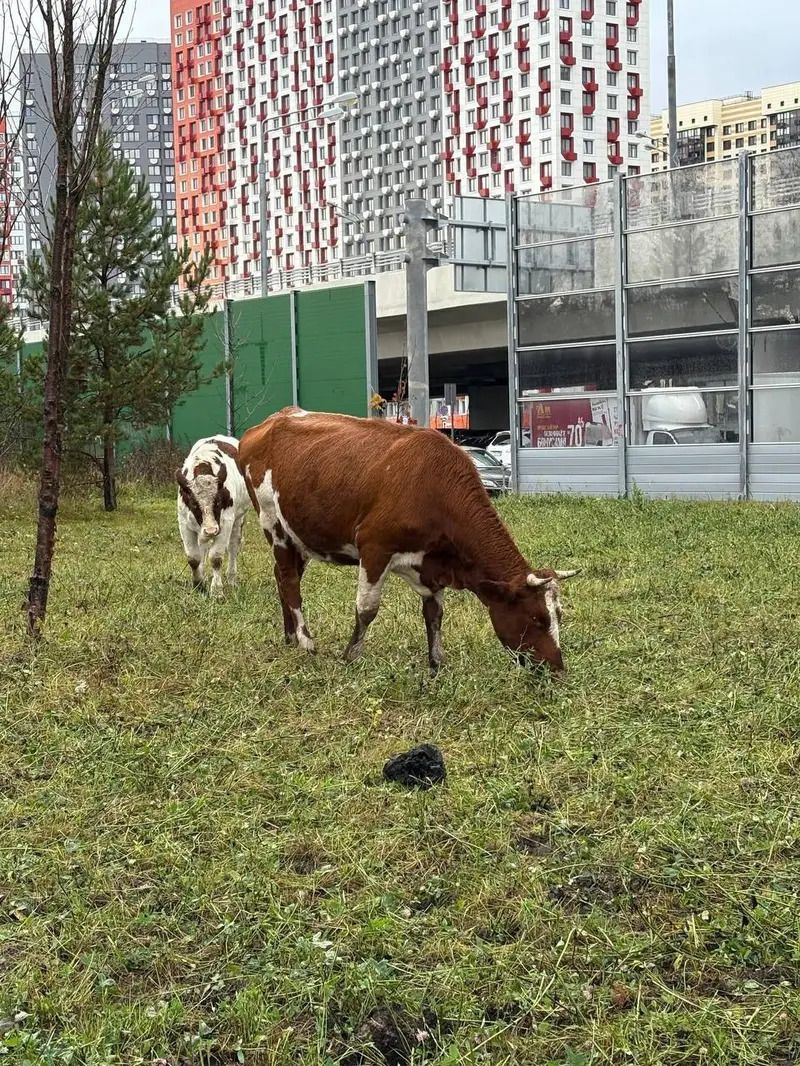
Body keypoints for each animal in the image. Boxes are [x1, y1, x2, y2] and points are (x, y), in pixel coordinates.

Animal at [176, 435, 250, 597]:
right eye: (194, 504)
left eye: (218, 501)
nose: (211, 530)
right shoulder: (184, 524)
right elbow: (193, 558)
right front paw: (198, 583)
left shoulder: (226, 522)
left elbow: (216, 557)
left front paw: (216, 591)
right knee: (202, 547)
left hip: (238, 519)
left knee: (233, 546)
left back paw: (231, 579)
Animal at [238, 408, 579, 672]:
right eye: (536, 618)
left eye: (559, 615)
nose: (557, 669)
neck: (434, 488)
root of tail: (268, 423)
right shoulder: (375, 549)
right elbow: (367, 608)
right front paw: (351, 656)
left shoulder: (433, 563)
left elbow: (434, 614)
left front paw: (437, 662)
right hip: (273, 524)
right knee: (289, 581)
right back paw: (306, 640)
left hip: (298, 535)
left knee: (284, 577)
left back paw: (290, 636)